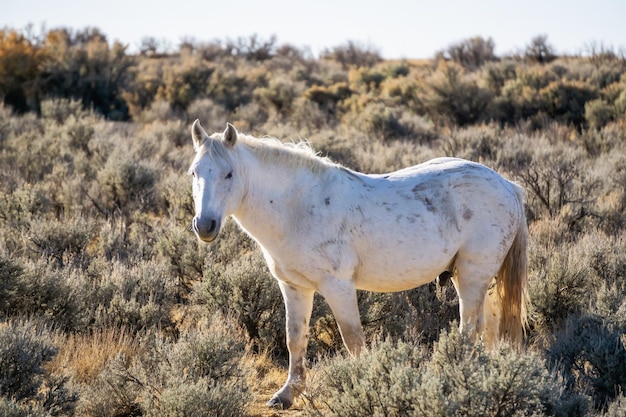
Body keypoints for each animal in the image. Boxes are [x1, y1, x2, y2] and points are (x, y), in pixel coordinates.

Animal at [186, 122, 528, 408]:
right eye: (193, 173)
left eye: (229, 174)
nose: (205, 225)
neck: (297, 207)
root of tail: (507, 185)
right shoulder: (294, 287)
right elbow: (295, 338)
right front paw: (286, 394)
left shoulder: (337, 287)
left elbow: (352, 339)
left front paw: (365, 384)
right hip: (478, 279)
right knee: (490, 326)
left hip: (472, 275)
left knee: (470, 328)